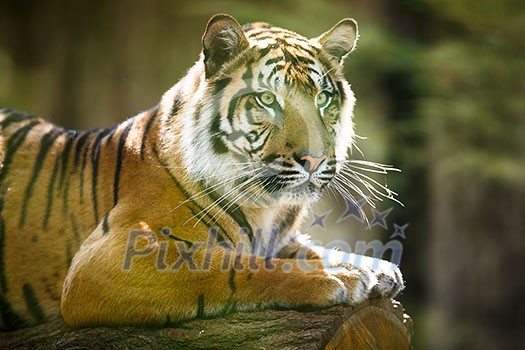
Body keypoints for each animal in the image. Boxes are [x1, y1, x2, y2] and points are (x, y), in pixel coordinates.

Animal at [0, 13, 402, 330]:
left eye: (322, 98)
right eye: (267, 99)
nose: (315, 160)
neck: (266, 207)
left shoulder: (285, 241)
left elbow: (315, 250)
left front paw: (375, 268)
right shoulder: (105, 259)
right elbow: (230, 266)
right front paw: (338, 277)